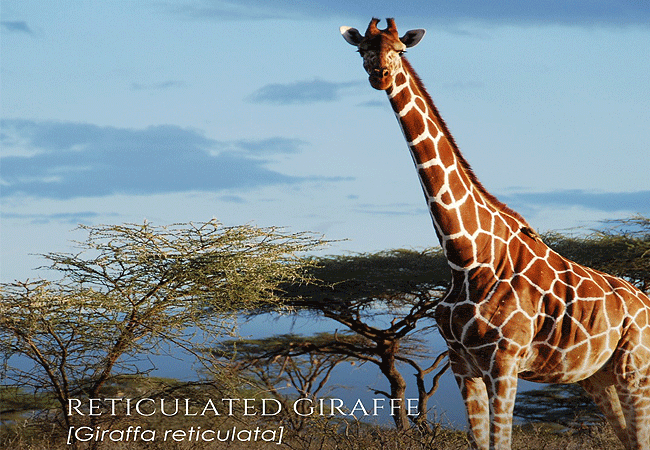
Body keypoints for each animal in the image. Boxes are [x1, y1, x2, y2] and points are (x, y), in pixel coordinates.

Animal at [340, 18, 650, 450]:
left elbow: (501, 442)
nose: (380, 75)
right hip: (597, 377)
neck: (466, 256)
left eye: (400, 50)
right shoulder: (462, 364)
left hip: (634, 371)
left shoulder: (503, 362)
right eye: (362, 50)